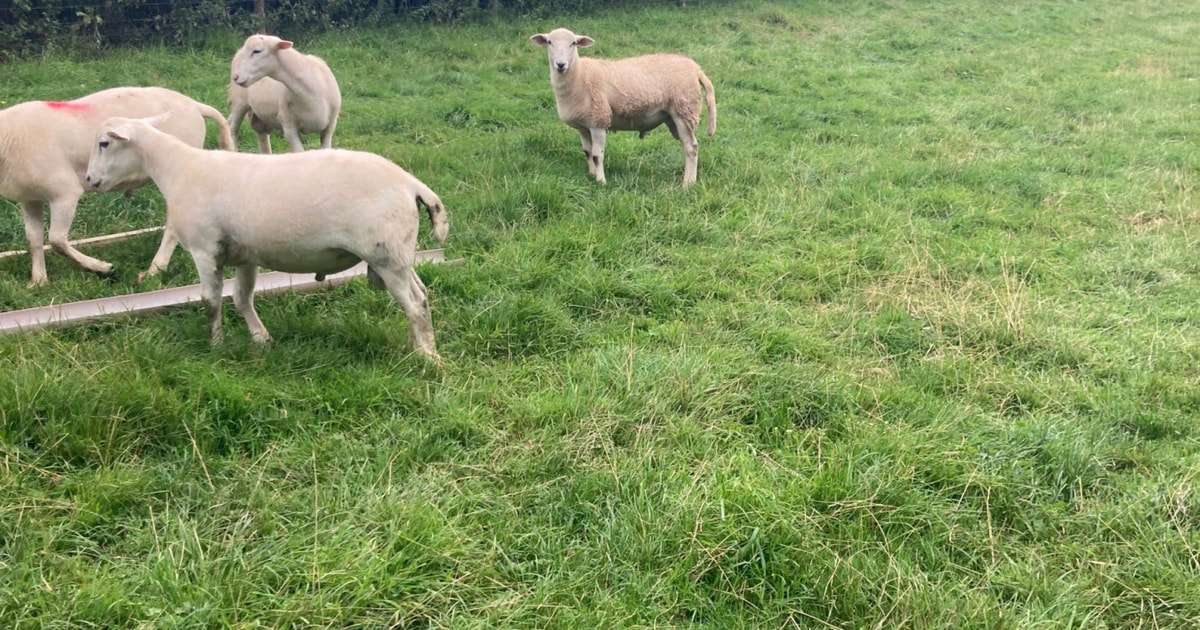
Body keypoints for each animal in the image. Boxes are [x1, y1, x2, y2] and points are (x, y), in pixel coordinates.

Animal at [0, 86, 235, 287]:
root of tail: (195, 105)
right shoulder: (29, 199)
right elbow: (34, 240)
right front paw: (38, 281)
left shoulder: (64, 192)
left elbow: (56, 240)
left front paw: (101, 268)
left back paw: (156, 268)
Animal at [85, 115, 448, 362]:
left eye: (104, 143)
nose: (89, 180)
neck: (177, 169)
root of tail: (411, 184)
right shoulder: (245, 255)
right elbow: (241, 298)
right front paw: (261, 339)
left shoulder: (204, 249)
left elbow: (211, 301)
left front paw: (215, 345)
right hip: (397, 256)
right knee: (422, 296)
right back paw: (419, 347)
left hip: (386, 256)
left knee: (415, 305)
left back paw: (428, 359)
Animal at [530, 27, 716, 186]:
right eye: (549, 42)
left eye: (573, 43)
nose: (561, 65)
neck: (580, 75)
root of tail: (696, 69)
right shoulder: (583, 126)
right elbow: (588, 152)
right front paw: (591, 175)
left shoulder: (599, 120)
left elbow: (597, 155)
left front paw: (601, 181)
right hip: (673, 116)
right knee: (688, 145)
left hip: (684, 109)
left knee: (691, 148)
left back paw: (688, 183)